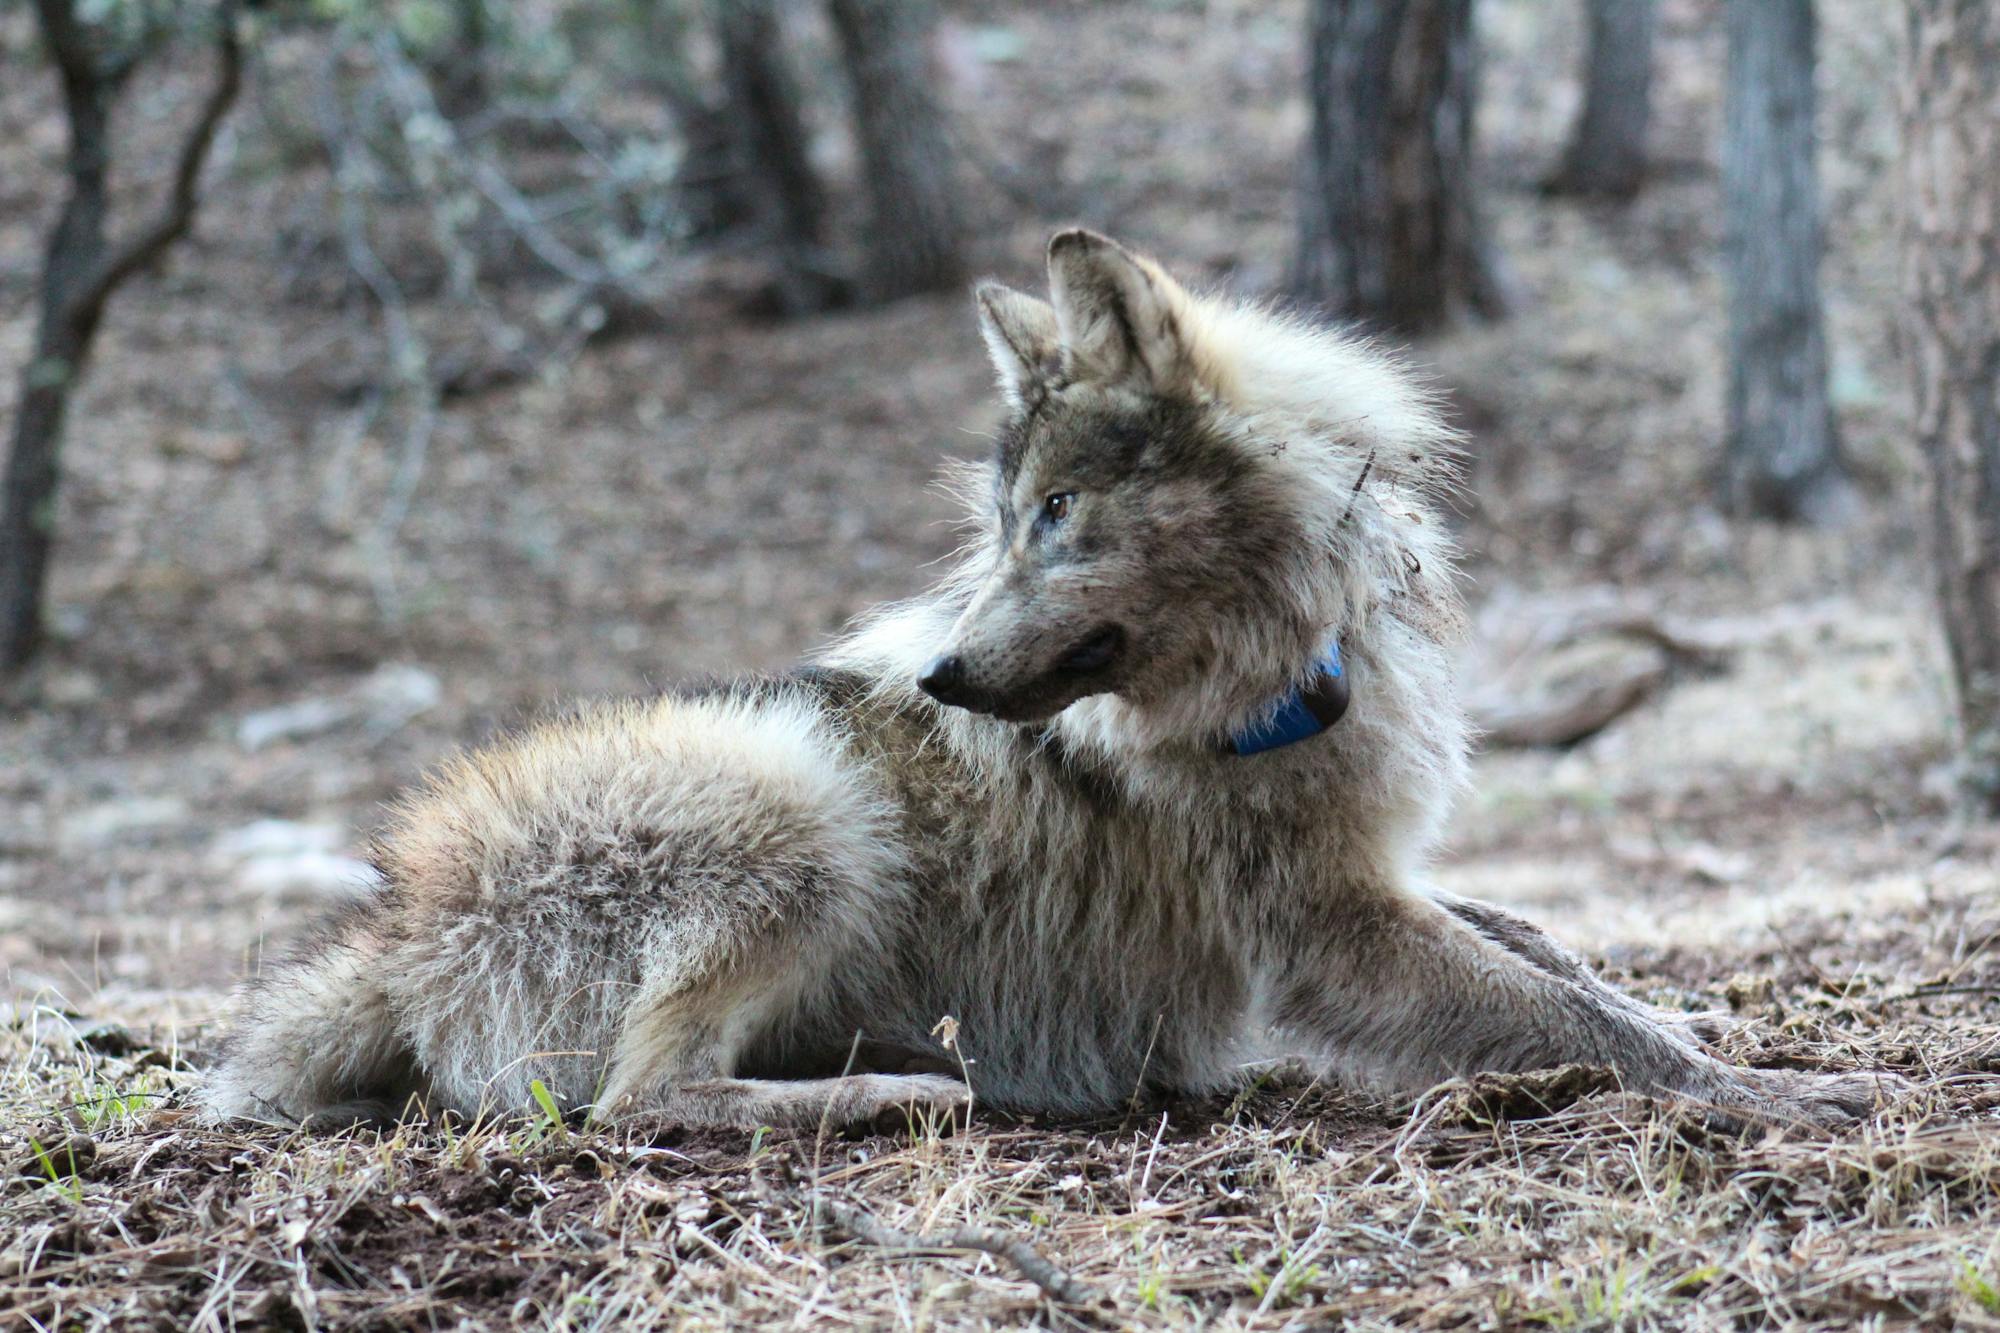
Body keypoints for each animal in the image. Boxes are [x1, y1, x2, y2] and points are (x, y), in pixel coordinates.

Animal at [199, 233, 1888, 1128]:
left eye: (1061, 514)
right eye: (1008, 523)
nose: (940, 675)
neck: (1277, 680)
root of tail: (396, 928)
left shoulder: (1381, 877)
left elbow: (1565, 957)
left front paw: (1739, 1038)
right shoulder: (1331, 931)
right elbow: (1569, 1013)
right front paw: (1784, 1098)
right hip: (806, 809)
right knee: (645, 1101)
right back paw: (899, 1092)